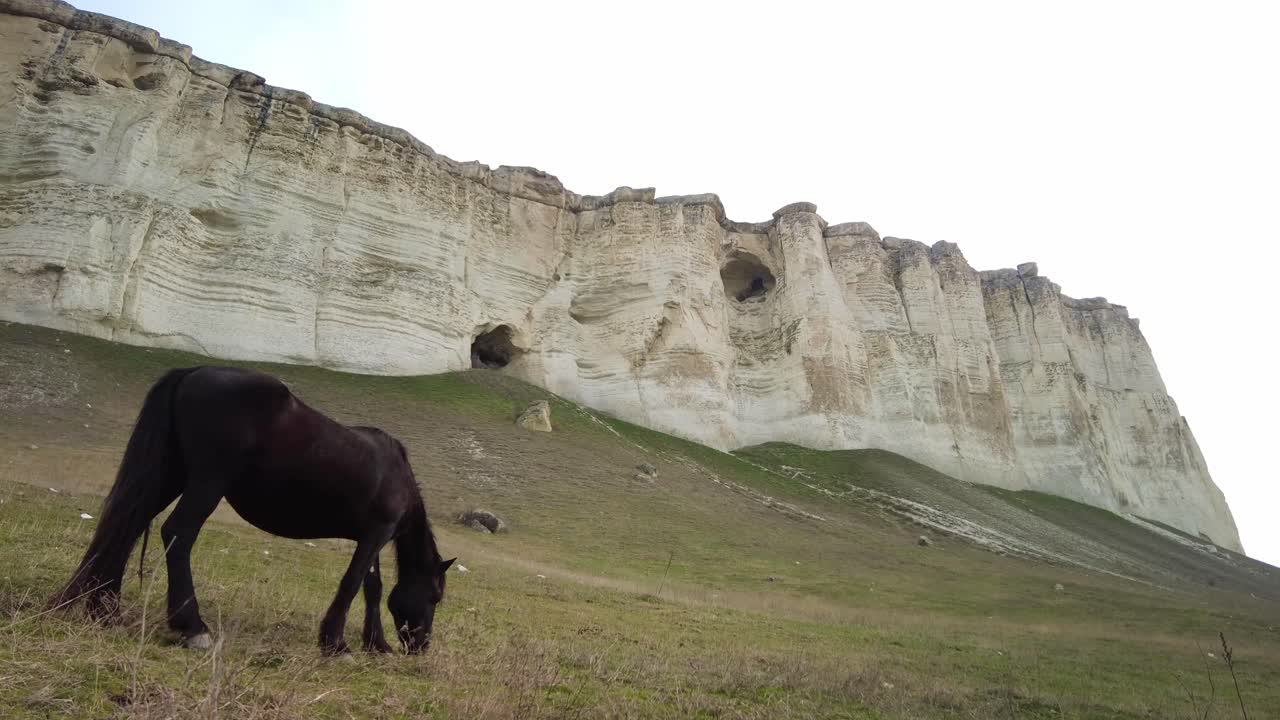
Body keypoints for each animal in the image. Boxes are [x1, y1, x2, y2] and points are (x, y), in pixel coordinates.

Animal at [49, 366, 454, 655]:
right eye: (435, 597)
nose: (421, 646)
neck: (397, 472)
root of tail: (193, 372)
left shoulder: (370, 538)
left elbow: (373, 586)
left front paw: (375, 643)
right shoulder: (375, 534)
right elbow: (353, 583)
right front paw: (336, 644)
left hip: (170, 476)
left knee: (129, 525)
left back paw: (105, 609)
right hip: (207, 483)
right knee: (177, 534)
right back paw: (192, 627)